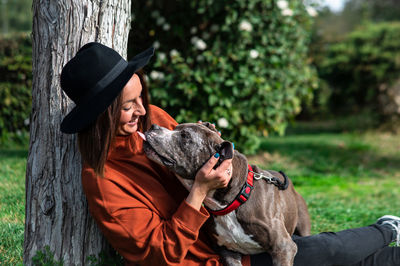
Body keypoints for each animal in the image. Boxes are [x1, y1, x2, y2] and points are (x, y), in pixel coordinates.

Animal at [142, 122, 310, 266]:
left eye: (185, 136)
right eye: (176, 128)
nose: (153, 126)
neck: (233, 201)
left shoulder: (283, 248)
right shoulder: (227, 251)